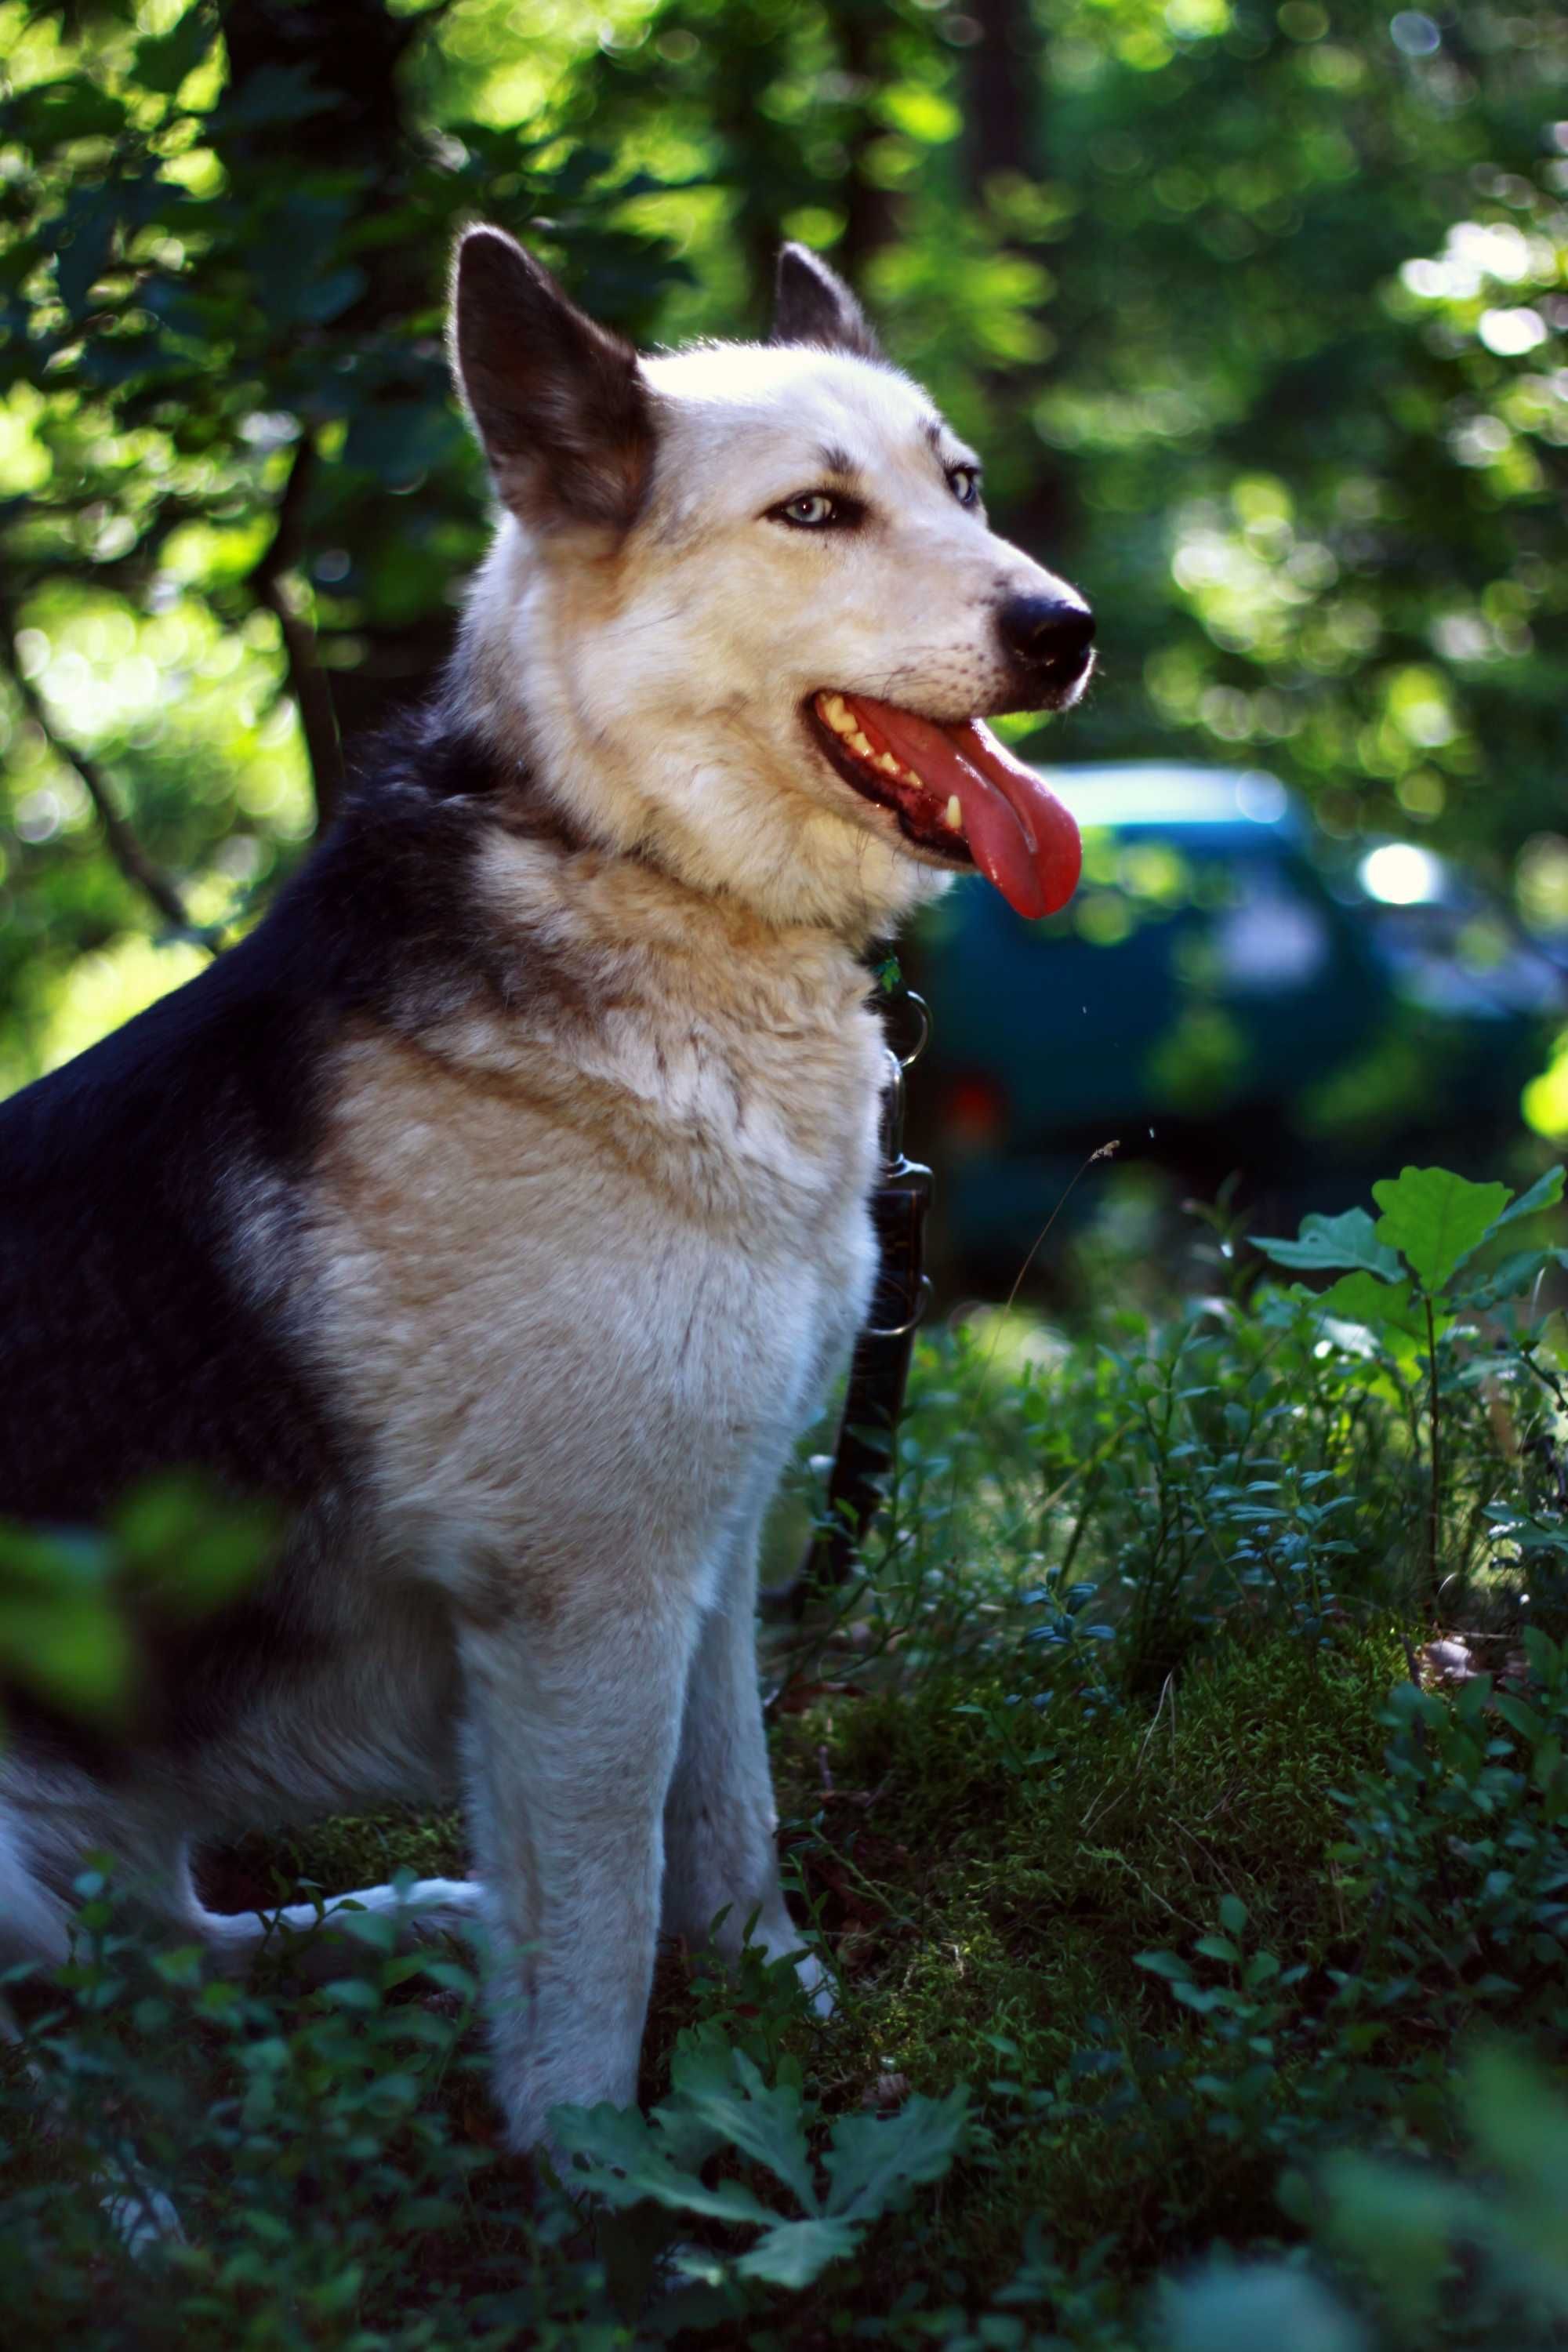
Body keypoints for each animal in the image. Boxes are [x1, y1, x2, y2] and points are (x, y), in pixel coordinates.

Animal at [0, 229, 1100, 2154]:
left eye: (958, 487)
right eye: (818, 513)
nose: (1069, 631)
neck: (633, 857)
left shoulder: (708, 1552)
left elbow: (727, 1842)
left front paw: (787, 2032)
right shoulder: (585, 1607)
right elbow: (600, 1930)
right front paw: (602, 2177)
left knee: (172, 1962)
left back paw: (398, 1925)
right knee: (91, 2041)